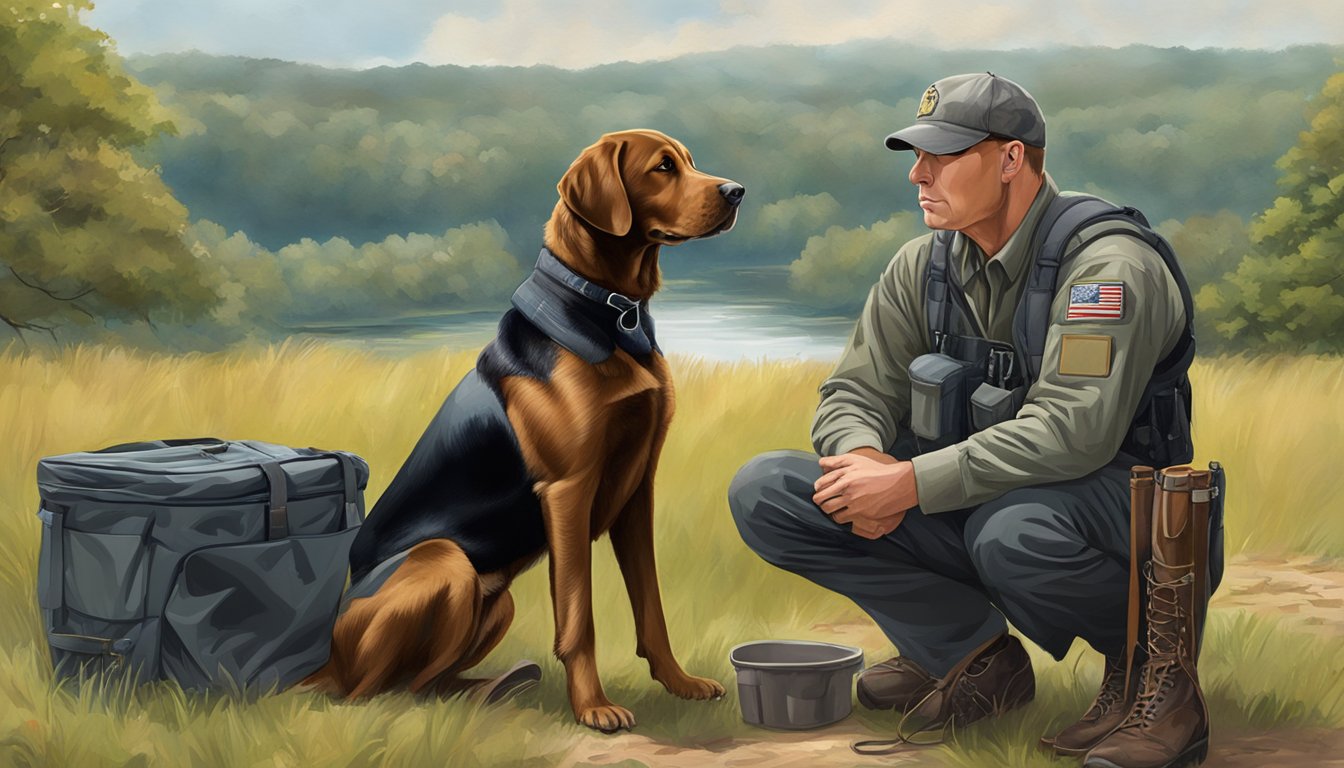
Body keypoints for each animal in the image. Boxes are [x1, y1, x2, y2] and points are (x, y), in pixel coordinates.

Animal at [306, 130, 747, 731]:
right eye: (662, 167)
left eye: (691, 162)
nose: (736, 192)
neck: (610, 313)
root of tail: (327, 660)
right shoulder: (567, 492)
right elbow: (578, 617)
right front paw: (593, 706)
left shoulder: (638, 490)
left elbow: (650, 607)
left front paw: (679, 683)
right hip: (446, 563)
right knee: (384, 692)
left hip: (496, 602)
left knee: (426, 682)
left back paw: (496, 688)